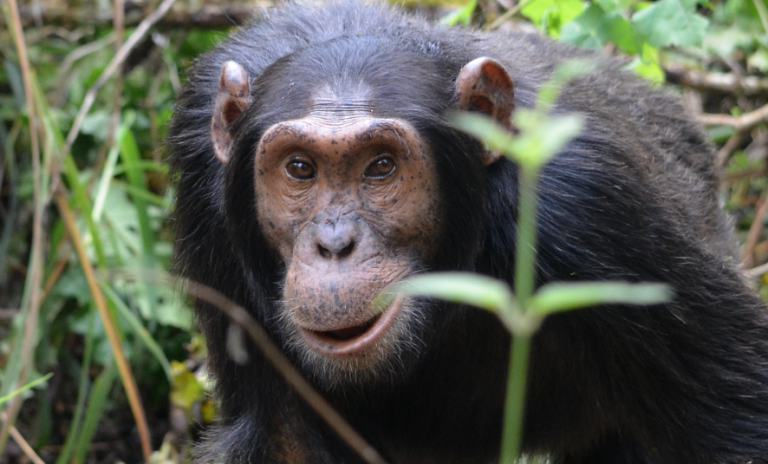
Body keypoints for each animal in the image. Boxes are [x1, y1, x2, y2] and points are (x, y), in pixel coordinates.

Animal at [168, 2, 768, 463]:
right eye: (299, 168)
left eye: (380, 166)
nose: (334, 244)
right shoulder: (204, 180)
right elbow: (283, 433)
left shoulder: (594, 205)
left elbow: (737, 424)